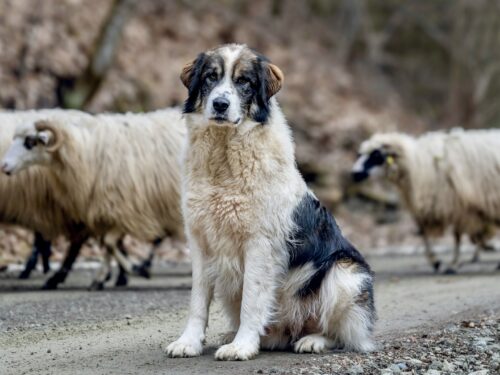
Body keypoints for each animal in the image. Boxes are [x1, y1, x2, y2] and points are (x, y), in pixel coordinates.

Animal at [1, 108, 188, 290]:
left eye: (30, 142)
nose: (4, 166)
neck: (85, 150)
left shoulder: (124, 209)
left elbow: (109, 243)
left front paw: (132, 270)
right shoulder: (109, 209)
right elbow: (109, 244)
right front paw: (106, 277)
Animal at [166, 43, 376, 362]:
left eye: (243, 81)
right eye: (211, 77)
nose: (220, 104)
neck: (223, 155)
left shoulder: (260, 244)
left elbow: (252, 301)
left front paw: (241, 346)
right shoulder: (201, 242)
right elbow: (197, 301)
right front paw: (188, 342)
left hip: (344, 273)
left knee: (342, 333)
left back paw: (312, 340)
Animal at [354, 131, 498, 272]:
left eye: (376, 155)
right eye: (360, 154)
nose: (355, 173)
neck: (417, 163)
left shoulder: (457, 205)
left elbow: (457, 235)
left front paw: (453, 264)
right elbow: (423, 233)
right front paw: (435, 261)